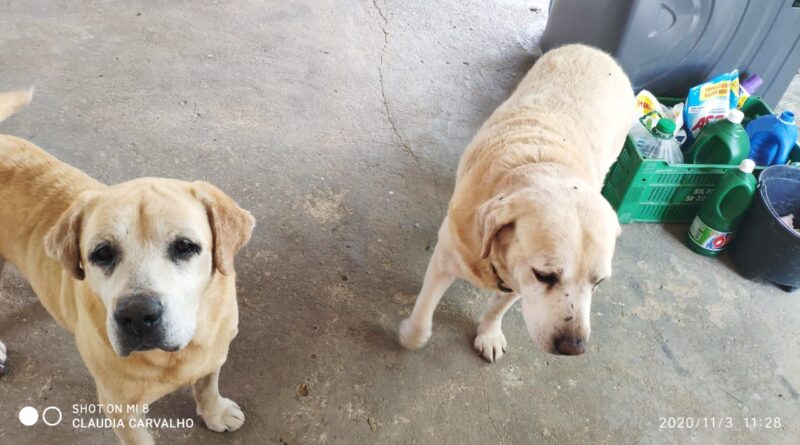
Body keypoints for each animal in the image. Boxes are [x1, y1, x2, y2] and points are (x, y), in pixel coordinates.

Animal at [0, 88, 255, 442]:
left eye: (185, 246)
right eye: (102, 253)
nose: (137, 315)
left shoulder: (215, 351)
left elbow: (207, 383)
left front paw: (214, 412)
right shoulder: (120, 408)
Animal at [396, 44, 636, 360]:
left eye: (598, 282)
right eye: (545, 275)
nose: (573, 347)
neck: (539, 166)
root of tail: (597, 51)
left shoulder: (516, 281)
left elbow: (498, 307)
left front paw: (489, 333)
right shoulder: (446, 258)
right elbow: (424, 309)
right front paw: (412, 335)